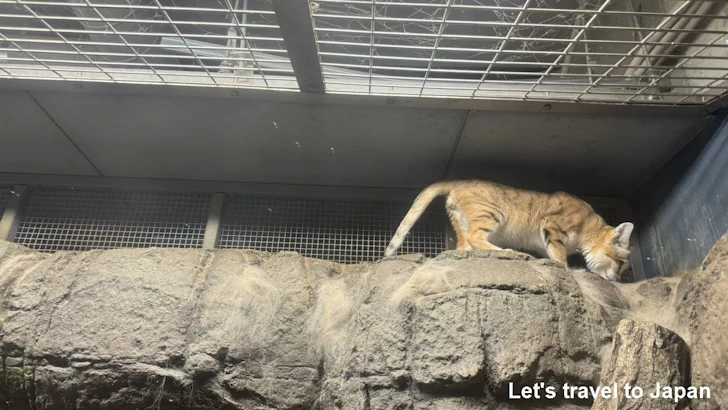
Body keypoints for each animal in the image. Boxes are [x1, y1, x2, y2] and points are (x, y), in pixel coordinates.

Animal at [386, 182, 632, 282]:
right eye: (621, 263)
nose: (620, 279)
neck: (590, 225)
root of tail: (456, 182)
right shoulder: (553, 228)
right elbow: (559, 257)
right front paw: (569, 270)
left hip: (462, 221)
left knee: (464, 245)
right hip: (494, 211)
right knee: (476, 237)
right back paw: (507, 251)